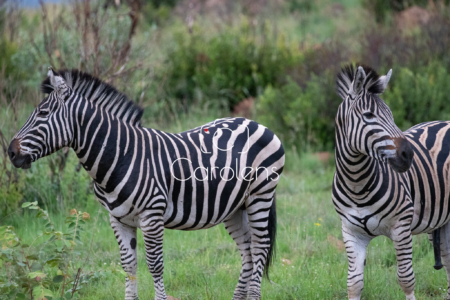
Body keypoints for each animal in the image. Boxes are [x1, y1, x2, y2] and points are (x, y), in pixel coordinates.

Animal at [7, 68, 284, 300]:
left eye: (43, 114)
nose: (10, 152)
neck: (120, 156)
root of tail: (255, 122)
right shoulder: (118, 219)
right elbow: (128, 265)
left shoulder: (152, 216)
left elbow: (155, 264)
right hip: (235, 206)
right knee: (248, 252)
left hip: (260, 195)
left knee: (260, 248)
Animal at [330, 63, 450, 300]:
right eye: (368, 115)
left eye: (391, 114)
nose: (408, 154)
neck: (356, 183)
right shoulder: (351, 232)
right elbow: (353, 283)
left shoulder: (401, 226)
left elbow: (406, 279)